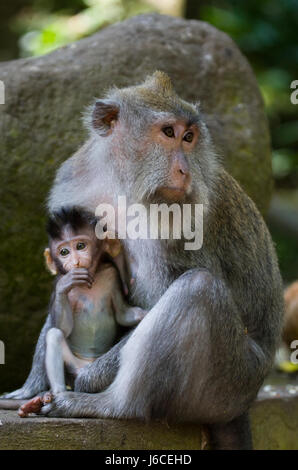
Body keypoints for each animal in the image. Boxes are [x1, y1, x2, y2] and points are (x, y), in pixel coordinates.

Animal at [18, 207, 146, 416]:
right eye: (64, 252)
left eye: (80, 246)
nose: (75, 261)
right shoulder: (57, 284)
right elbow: (63, 327)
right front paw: (67, 283)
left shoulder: (111, 274)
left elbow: (121, 314)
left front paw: (142, 313)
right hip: (73, 367)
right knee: (54, 335)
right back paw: (51, 397)